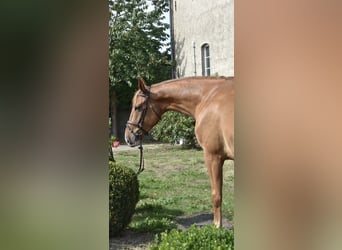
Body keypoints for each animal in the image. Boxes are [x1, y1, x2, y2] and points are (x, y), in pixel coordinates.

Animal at [124, 76, 234, 227]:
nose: (128, 137)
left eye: (138, 107)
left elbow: (216, 195)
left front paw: (218, 227)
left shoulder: (213, 156)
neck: (207, 97)